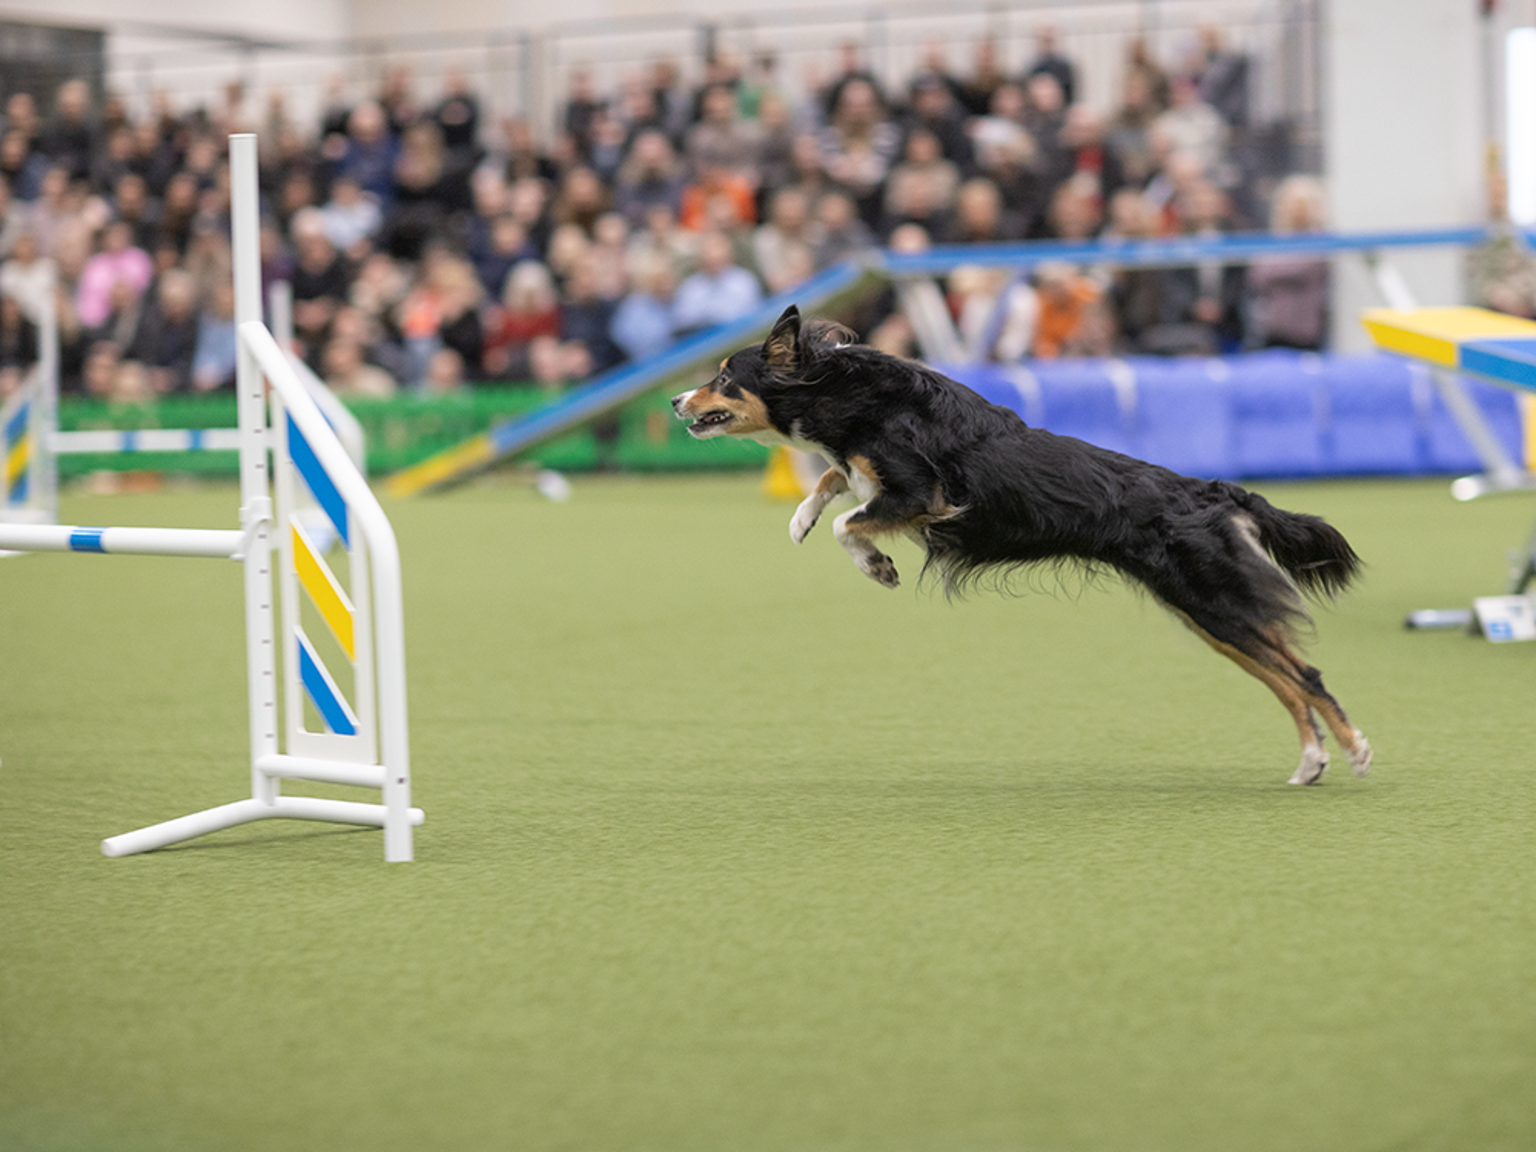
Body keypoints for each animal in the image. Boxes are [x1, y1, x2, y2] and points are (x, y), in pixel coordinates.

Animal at [672, 307, 1370, 786]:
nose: (676, 399)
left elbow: (851, 519)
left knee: (1303, 674)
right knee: (1288, 677)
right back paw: (1312, 761)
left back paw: (1355, 751)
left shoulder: (923, 492)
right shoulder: (880, 480)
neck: (837, 387)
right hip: (1207, 614)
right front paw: (801, 517)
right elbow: (833, 479)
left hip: (1213, 602)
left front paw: (877, 566)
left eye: (724, 378)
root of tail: (1213, 491)